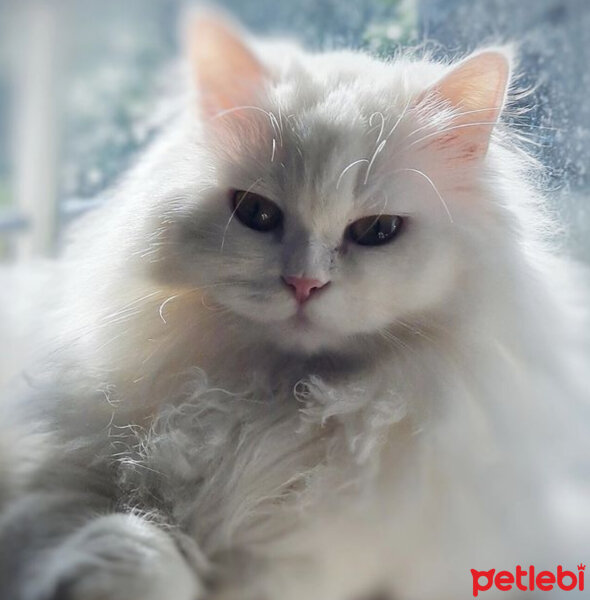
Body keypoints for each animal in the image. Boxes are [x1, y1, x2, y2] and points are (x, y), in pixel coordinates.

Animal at [1, 10, 590, 600]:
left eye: (378, 231)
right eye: (257, 213)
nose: (304, 283)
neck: (271, 409)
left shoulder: (310, 561)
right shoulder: (57, 480)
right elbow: (125, 533)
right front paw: (112, 574)